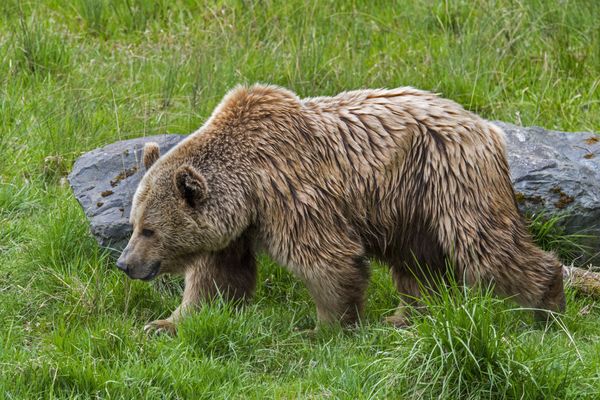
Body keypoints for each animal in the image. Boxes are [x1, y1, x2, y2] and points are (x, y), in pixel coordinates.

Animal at [117, 85, 568, 334]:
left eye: (150, 230)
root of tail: (485, 126)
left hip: (449, 177)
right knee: (420, 263)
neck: (249, 187)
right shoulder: (236, 229)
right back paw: (407, 316)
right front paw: (165, 324)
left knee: (485, 245)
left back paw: (547, 305)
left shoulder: (292, 193)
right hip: (409, 207)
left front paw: (324, 329)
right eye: (133, 223)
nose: (125, 264)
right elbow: (216, 280)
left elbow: (326, 258)